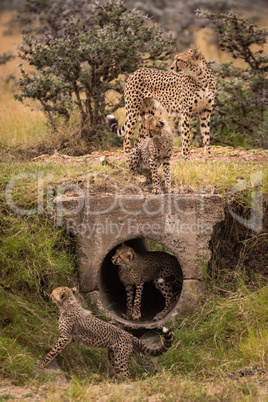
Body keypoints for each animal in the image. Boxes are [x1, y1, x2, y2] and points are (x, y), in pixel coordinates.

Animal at [40, 288, 173, 378]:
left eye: (53, 292)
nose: (49, 295)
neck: (68, 304)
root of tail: (129, 334)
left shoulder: (65, 337)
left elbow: (54, 351)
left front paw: (43, 363)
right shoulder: (71, 338)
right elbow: (54, 347)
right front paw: (46, 348)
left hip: (120, 359)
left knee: (128, 376)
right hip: (113, 356)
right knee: (121, 373)